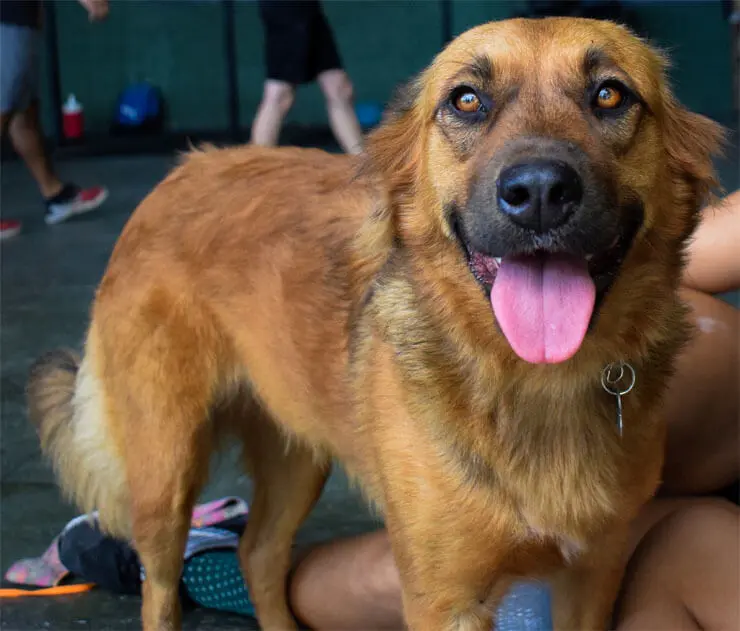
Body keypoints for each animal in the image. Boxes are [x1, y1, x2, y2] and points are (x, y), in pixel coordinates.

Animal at [30, 17, 724, 628]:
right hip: (166, 471)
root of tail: (183, 168)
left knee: (259, 555)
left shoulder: (592, 575)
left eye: (609, 94)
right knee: (161, 586)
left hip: (294, 450)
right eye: (466, 101)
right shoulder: (443, 600)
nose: (539, 194)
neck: (534, 382)